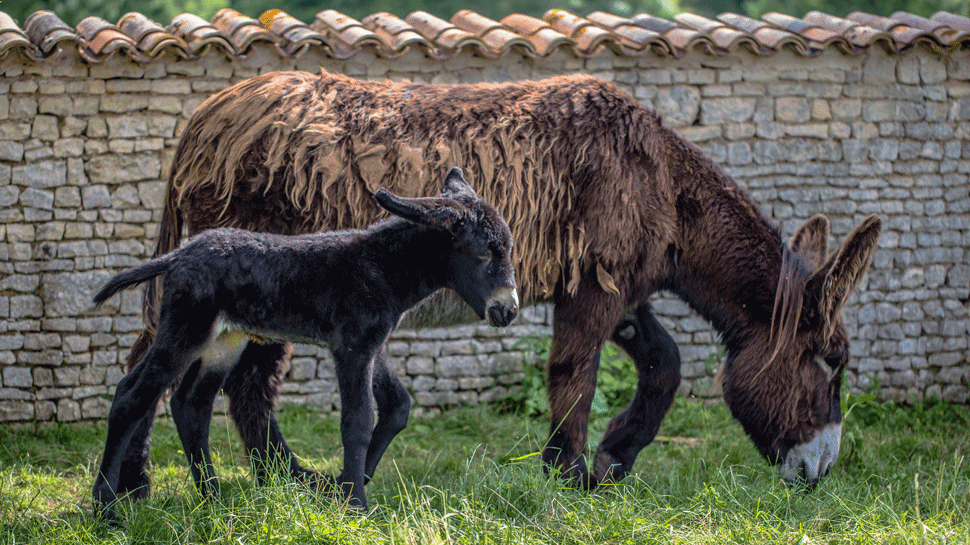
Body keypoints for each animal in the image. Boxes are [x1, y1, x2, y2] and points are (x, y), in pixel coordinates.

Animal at [91, 167, 520, 524]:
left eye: (509, 249)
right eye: (483, 252)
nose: (509, 310)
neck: (382, 267)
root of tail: (181, 253)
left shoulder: (373, 345)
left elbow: (398, 406)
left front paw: (340, 487)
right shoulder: (352, 346)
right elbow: (357, 420)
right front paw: (356, 507)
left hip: (225, 340)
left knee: (190, 403)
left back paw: (212, 500)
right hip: (186, 329)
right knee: (132, 396)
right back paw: (106, 510)